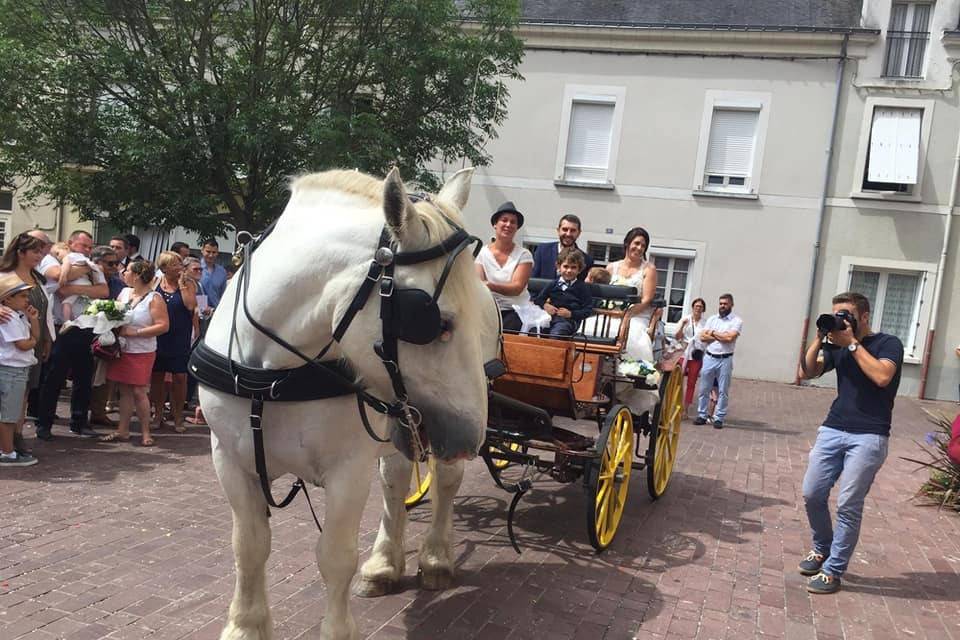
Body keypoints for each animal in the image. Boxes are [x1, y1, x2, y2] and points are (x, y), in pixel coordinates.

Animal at [202, 168, 502, 636]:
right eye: (439, 323)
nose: (470, 438)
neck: (272, 376)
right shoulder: (230, 460)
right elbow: (248, 547)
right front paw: (245, 626)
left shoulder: (347, 469)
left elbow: (335, 556)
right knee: (395, 479)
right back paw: (383, 565)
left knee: (446, 483)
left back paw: (436, 558)